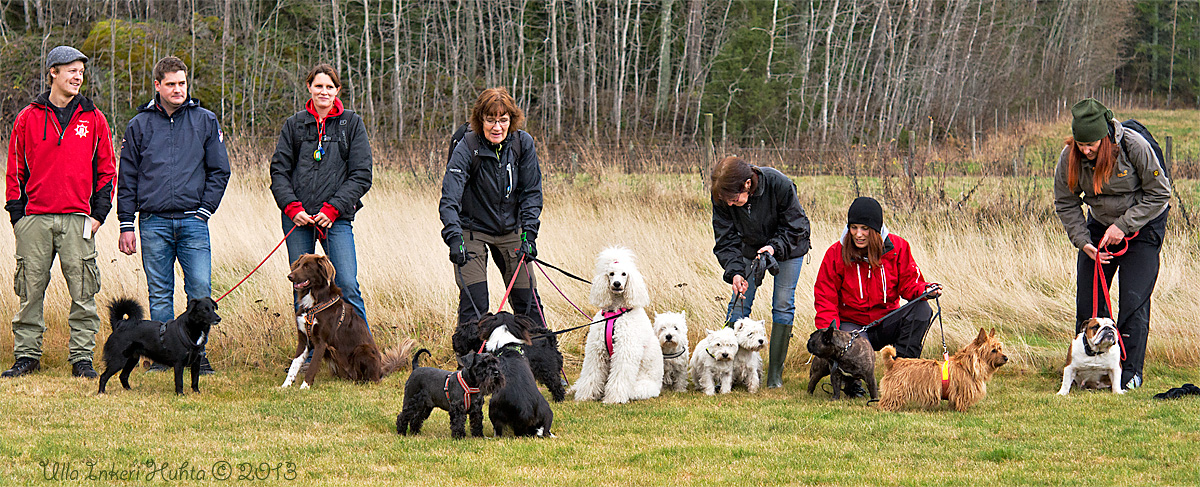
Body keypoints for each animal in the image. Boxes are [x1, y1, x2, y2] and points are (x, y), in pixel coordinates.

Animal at [280, 255, 412, 388]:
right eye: (298, 265)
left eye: (307, 267)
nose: (289, 276)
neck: (313, 304)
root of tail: (381, 370)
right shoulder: (304, 340)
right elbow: (294, 365)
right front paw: (285, 386)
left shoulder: (321, 342)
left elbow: (312, 367)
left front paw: (304, 387)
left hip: (362, 350)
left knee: (372, 379)